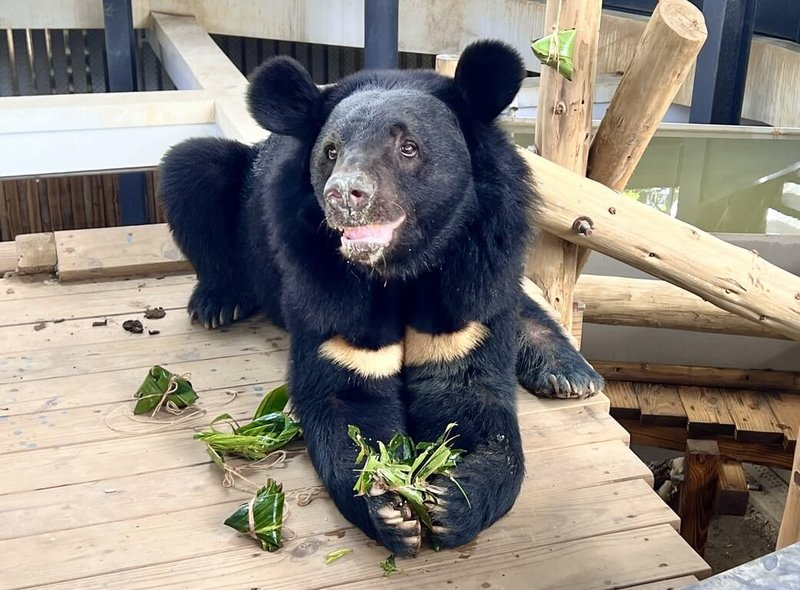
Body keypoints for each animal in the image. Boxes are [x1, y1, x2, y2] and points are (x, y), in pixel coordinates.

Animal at [160, 40, 602, 557]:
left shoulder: (473, 265)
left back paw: (570, 373)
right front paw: (388, 506)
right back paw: (217, 302)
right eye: (330, 152)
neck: (399, 270)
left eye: (408, 148)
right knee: (192, 166)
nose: (344, 196)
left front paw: (453, 501)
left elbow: (468, 386)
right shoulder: (324, 287)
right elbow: (345, 394)